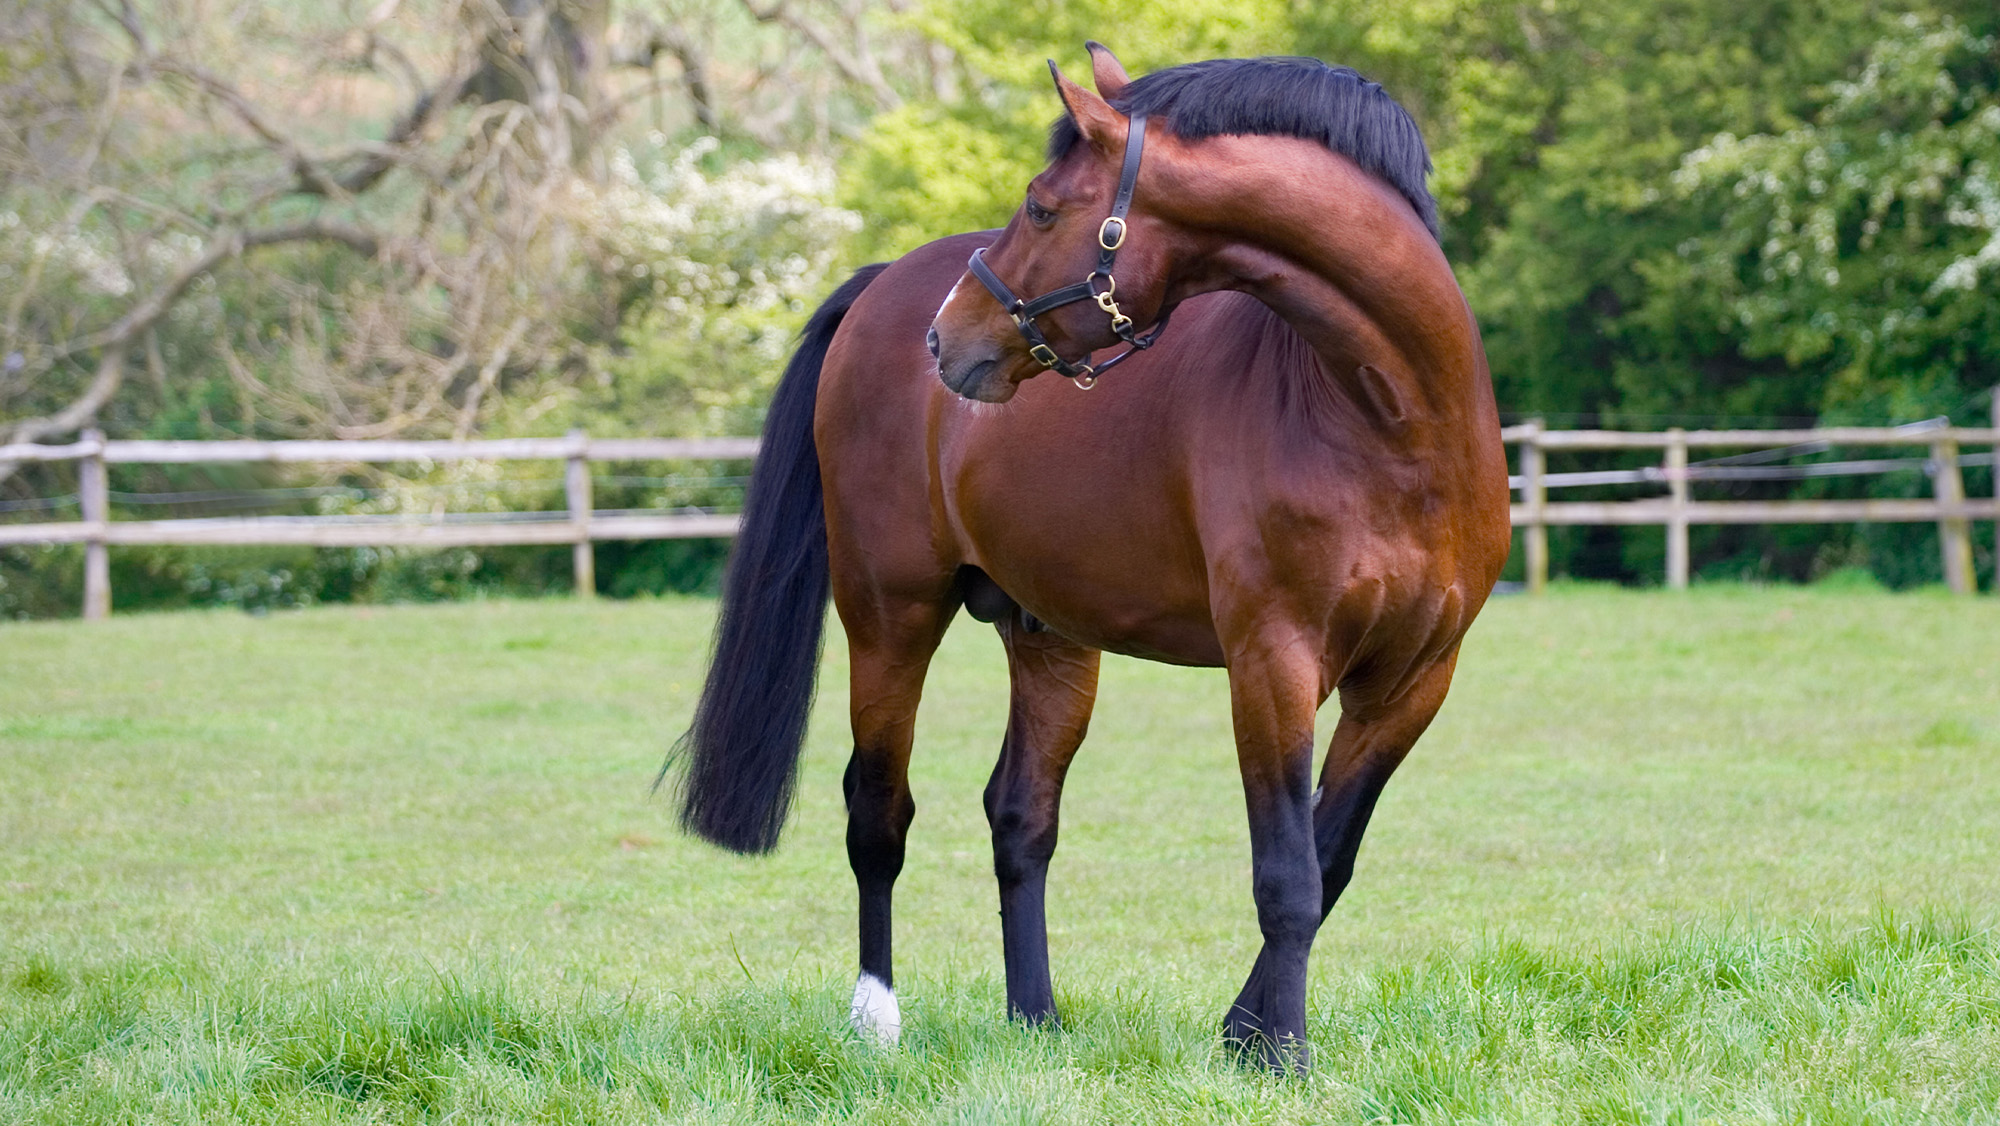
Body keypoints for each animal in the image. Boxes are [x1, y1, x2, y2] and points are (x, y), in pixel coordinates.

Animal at [670, 44, 1511, 1072]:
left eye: (1040, 206)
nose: (948, 337)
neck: (1388, 424)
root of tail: (881, 287)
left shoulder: (1413, 682)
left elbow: (1330, 857)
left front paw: (1246, 1033)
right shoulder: (1272, 663)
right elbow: (1288, 876)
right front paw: (1280, 1053)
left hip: (1049, 636)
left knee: (1020, 817)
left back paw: (1035, 1017)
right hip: (889, 613)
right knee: (877, 811)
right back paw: (877, 1020)